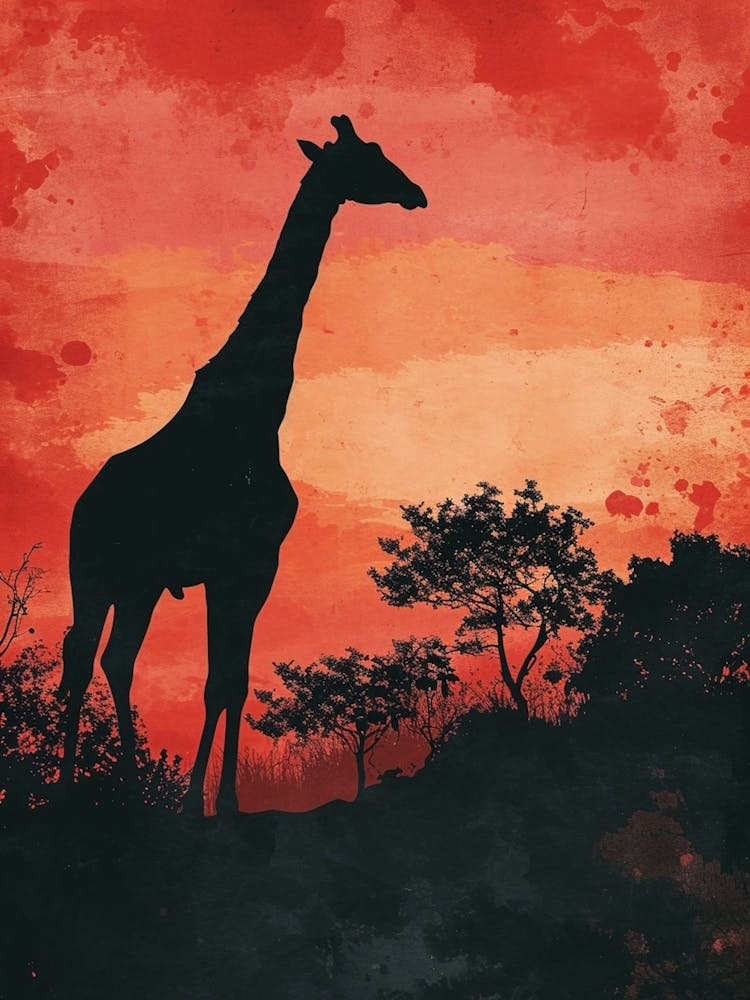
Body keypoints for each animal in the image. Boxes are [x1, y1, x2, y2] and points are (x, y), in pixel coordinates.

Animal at [58, 115, 427, 814]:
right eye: (367, 158)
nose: (416, 193)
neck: (257, 413)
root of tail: (79, 504)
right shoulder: (238, 563)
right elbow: (219, 680)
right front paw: (202, 803)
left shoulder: (252, 564)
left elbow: (233, 678)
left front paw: (214, 801)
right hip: (93, 572)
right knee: (85, 657)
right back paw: (75, 796)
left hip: (140, 582)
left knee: (110, 659)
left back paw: (122, 793)